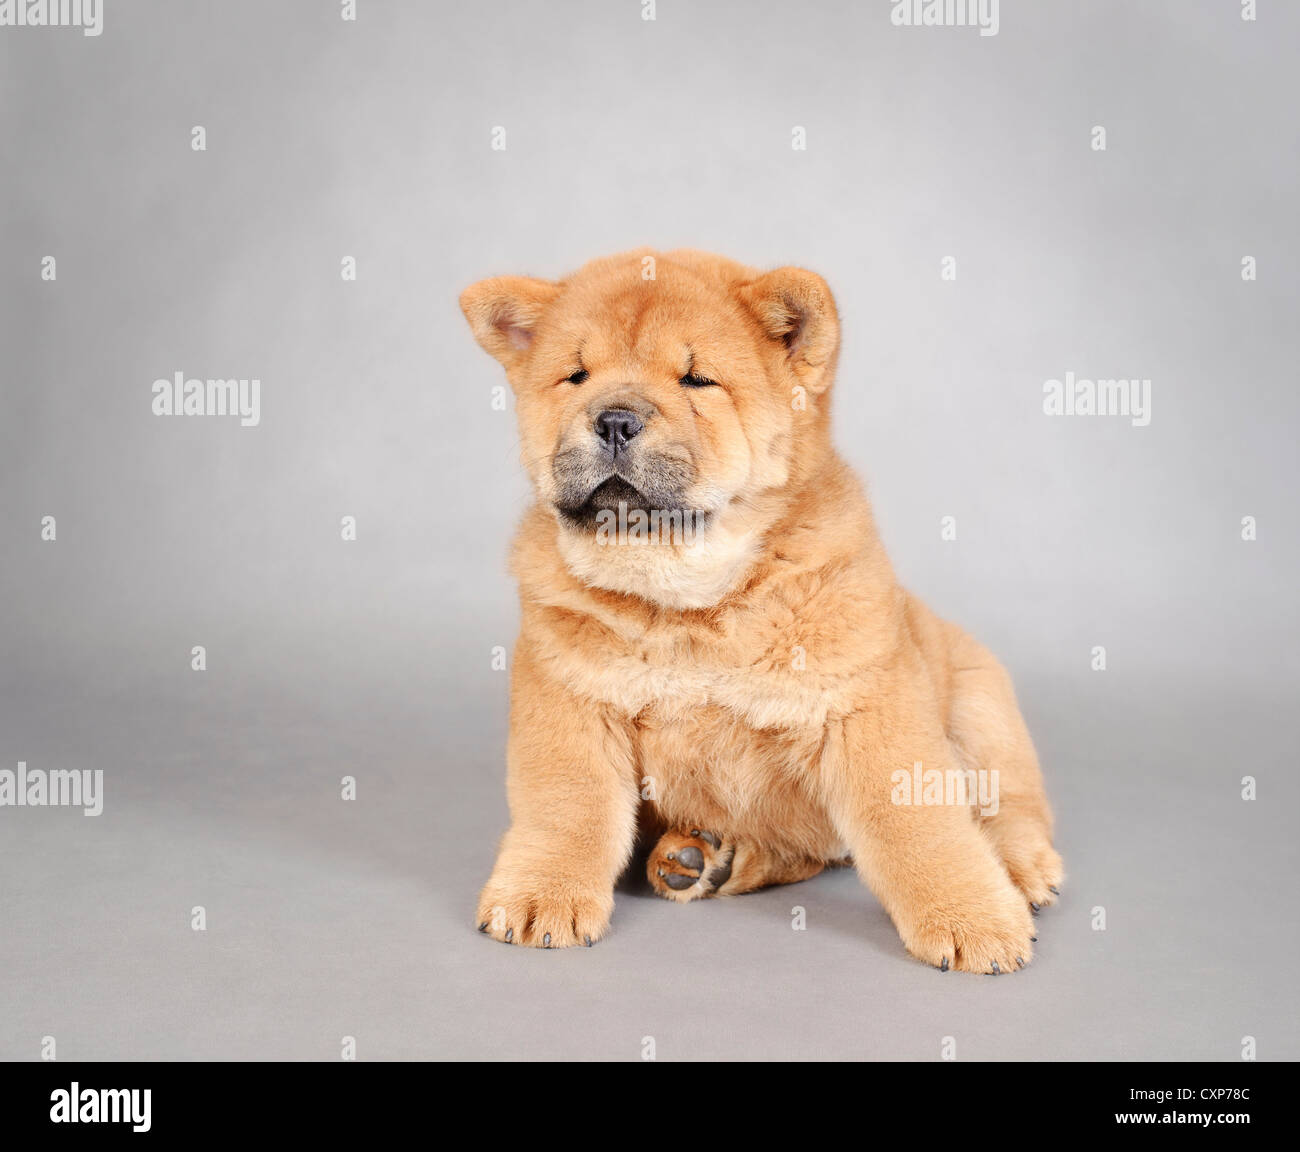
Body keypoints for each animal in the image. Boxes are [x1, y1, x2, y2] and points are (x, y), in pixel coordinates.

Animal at [462, 250, 1060, 972]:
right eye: (576, 376)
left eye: (697, 380)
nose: (613, 419)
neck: (690, 602)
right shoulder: (569, 698)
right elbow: (564, 807)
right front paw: (538, 897)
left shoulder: (866, 705)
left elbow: (919, 822)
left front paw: (974, 920)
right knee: (799, 851)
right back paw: (700, 859)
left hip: (977, 701)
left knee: (1009, 806)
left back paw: (1021, 872)